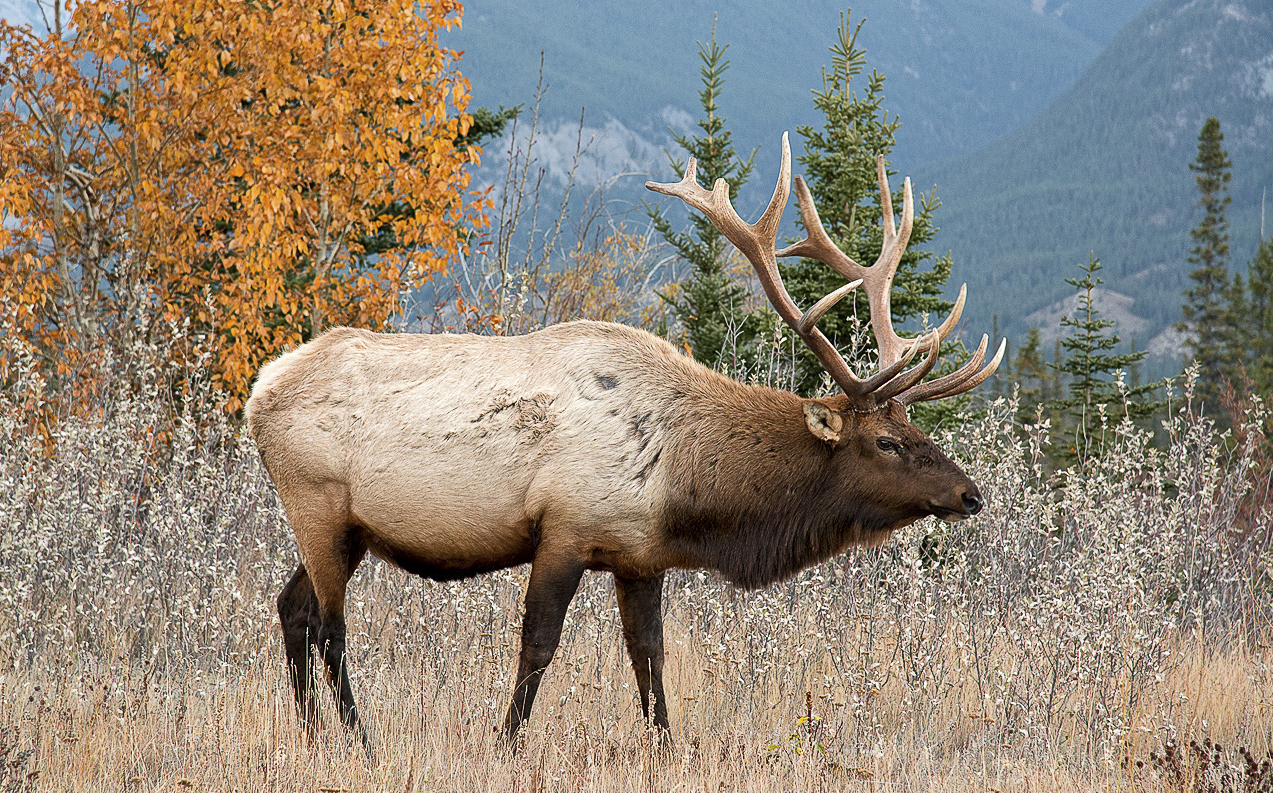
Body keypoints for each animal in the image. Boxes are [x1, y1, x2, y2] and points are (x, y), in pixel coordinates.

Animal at [245, 134, 1003, 748]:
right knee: (331, 628)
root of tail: (259, 391)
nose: (970, 494)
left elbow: (649, 654)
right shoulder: (565, 527)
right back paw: (358, 739)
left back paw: (312, 735)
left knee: (292, 608)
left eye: (914, 428)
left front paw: (666, 746)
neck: (686, 488)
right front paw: (505, 742)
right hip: (318, 504)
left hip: (348, 528)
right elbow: (537, 646)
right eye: (886, 441)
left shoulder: (640, 555)